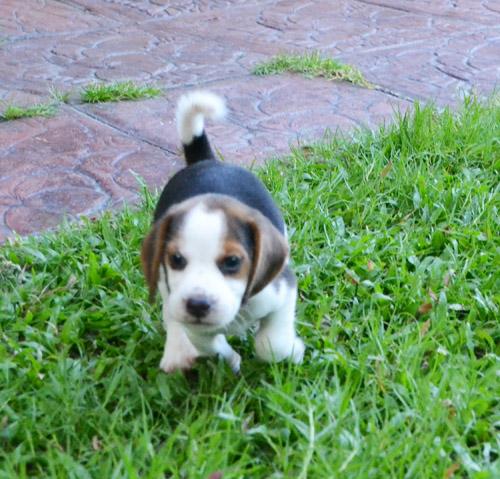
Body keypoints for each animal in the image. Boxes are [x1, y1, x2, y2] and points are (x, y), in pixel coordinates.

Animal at [141, 91, 305, 373]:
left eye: (232, 262)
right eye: (176, 259)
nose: (197, 305)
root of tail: (206, 161)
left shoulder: (282, 290)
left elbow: (272, 344)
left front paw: (293, 350)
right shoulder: (193, 324)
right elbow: (209, 343)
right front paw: (230, 358)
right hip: (163, 282)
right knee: (170, 314)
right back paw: (177, 350)